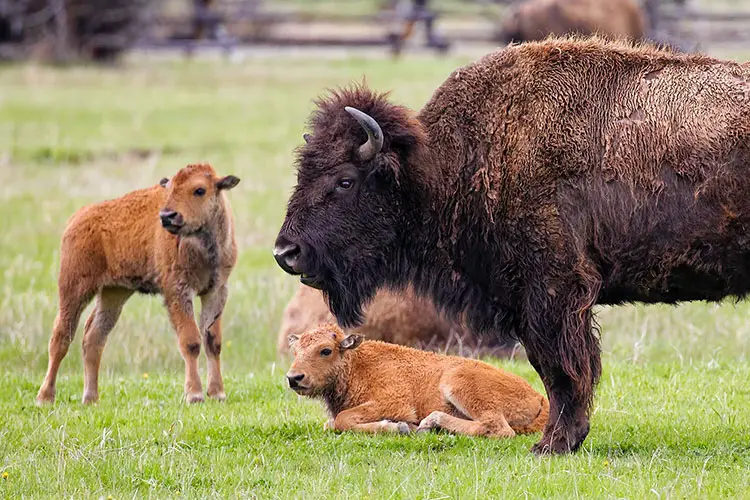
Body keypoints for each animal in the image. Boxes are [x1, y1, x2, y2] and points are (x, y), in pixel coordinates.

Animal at [36, 162, 241, 404]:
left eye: (200, 190)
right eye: (169, 188)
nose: (167, 216)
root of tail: (78, 217)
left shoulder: (216, 290)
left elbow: (213, 342)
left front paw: (218, 393)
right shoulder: (178, 290)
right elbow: (190, 341)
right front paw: (195, 394)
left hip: (114, 293)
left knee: (93, 337)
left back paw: (91, 398)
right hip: (74, 288)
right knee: (61, 337)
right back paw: (45, 397)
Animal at [284, 324, 548, 438]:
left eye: (325, 350)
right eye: (295, 351)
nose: (294, 378)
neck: (357, 365)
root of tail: (540, 398)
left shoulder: (394, 402)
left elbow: (342, 418)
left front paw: (399, 427)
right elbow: (331, 423)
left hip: (457, 382)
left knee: (498, 428)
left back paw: (431, 423)